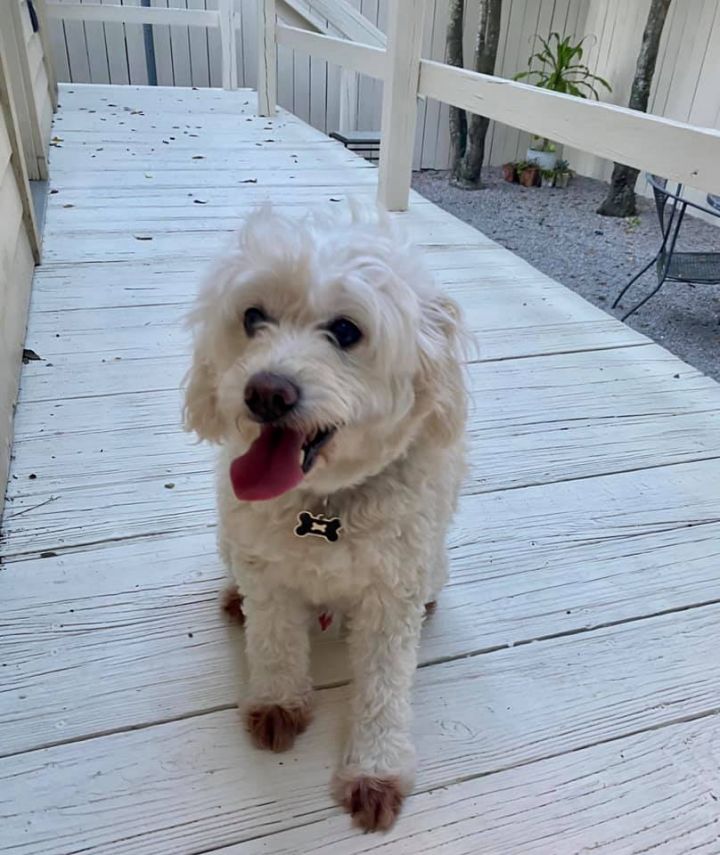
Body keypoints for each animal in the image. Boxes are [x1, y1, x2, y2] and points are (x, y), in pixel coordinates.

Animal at [186, 204, 466, 832]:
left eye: (345, 331)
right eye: (252, 316)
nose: (265, 392)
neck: (324, 507)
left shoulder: (392, 597)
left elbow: (384, 688)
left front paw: (375, 770)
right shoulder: (267, 576)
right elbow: (274, 644)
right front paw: (278, 703)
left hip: (433, 563)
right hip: (227, 541)